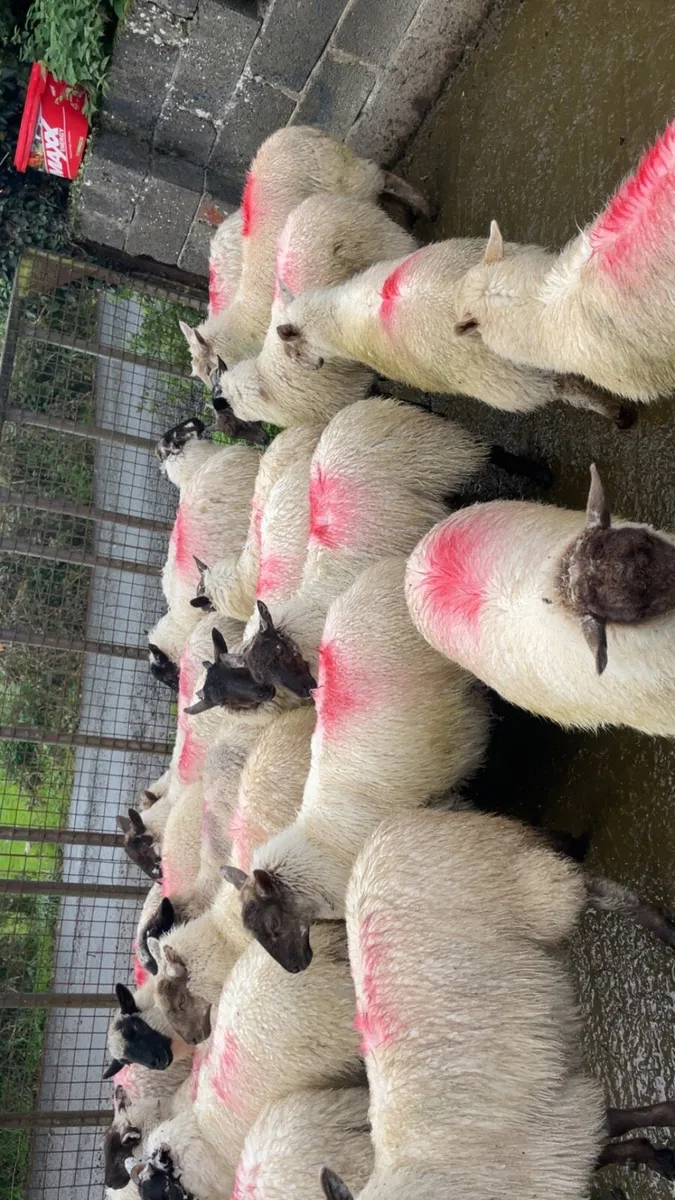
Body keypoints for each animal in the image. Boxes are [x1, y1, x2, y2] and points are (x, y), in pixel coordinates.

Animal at [177, 125, 430, 384]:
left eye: (210, 368)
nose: (215, 389)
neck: (242, 323)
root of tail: (294, 130)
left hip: (345, 177)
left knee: (379, 176)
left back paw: (423, 206)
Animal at [271, 239, 634, 425]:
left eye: (293, 351)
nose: (311, 367)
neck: (337, 321)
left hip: (510, 383)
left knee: (568, 387)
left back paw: (616, 414)